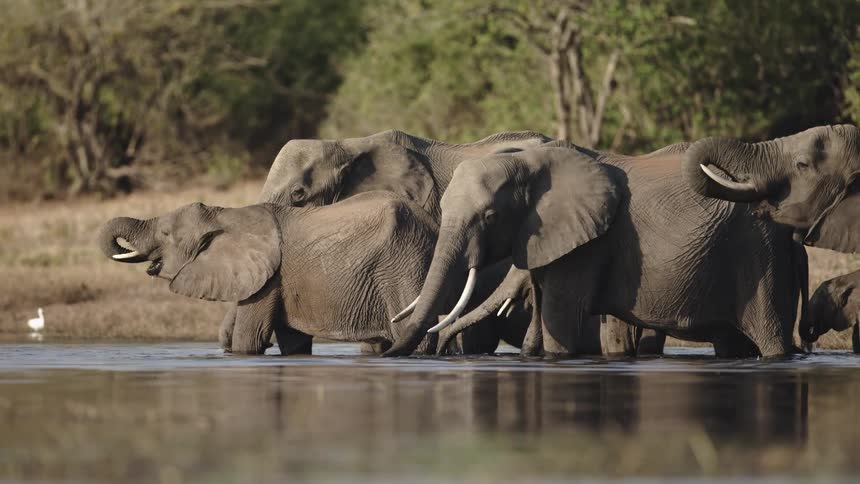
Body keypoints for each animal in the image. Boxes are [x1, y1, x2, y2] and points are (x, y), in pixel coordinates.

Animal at [97, 192, 442, 354]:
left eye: (166, 234)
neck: (225, 214)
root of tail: (432, 223)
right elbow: (293, 343)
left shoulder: (267, 279)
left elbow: (250, 338)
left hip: (403, 264)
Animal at [384, 141, 807, 358]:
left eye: (489, 216)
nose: (389, 354)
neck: (528, 162)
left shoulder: (587, 244)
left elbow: (560, 315)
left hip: (759, 256)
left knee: (770, 334)